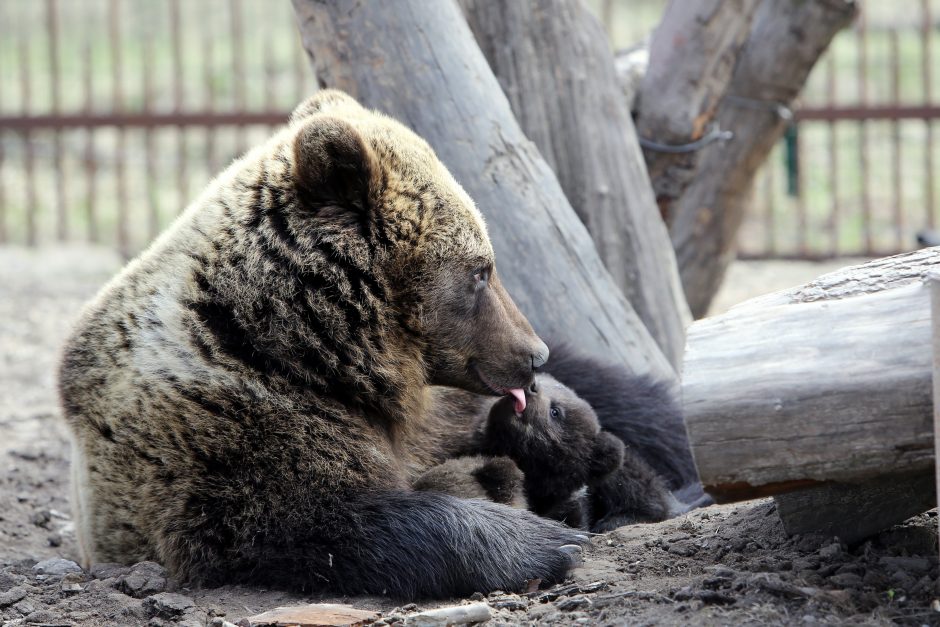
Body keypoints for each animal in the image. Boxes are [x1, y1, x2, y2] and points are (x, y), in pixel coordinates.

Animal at [57, 91, 580, 600]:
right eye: (480, 271)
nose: (534, 354)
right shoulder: (225, 436)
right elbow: (326, 523)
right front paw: (547, 540)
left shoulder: (427, 417)